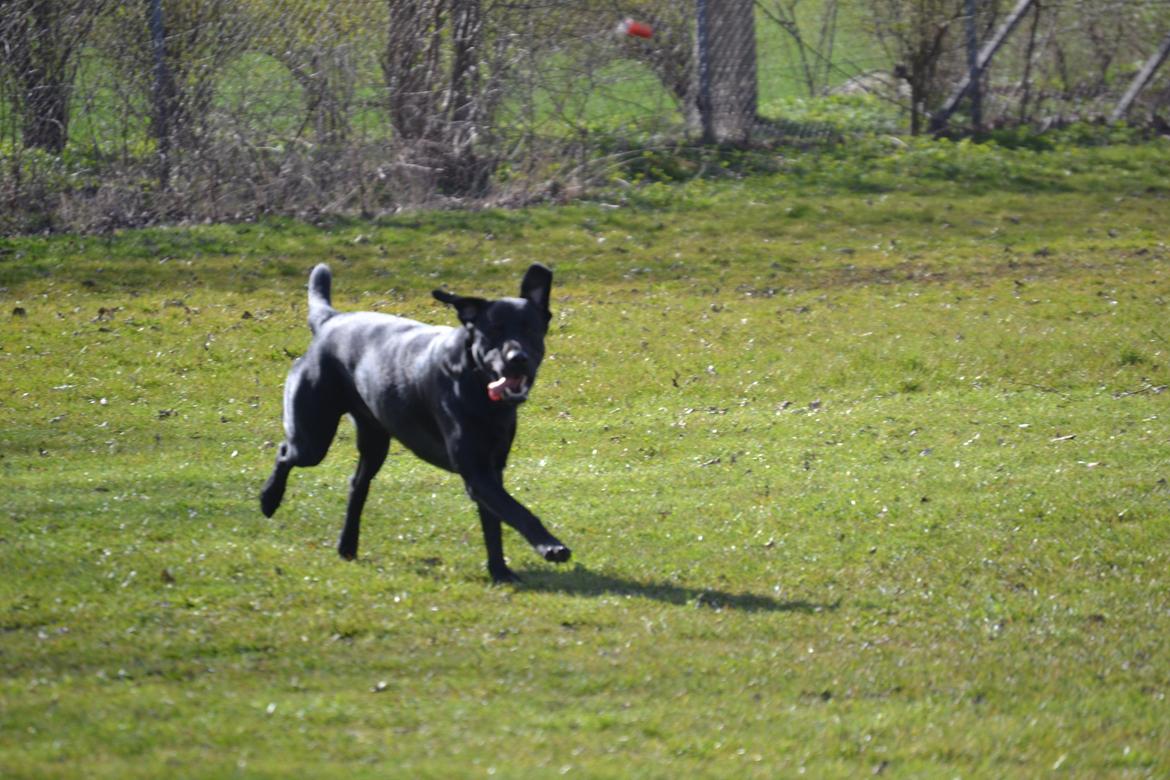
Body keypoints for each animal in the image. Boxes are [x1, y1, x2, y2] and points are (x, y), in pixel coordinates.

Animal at [265, 265, 575, 582]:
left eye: (529, 329)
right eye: (493, 331)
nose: (517, 358)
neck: (477, 384)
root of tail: (331, 319)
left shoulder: (491, 470)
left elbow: (495, 524)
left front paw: (500, 571)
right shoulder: (477, 474)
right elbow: (518, 511)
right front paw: (550, 546)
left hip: (374, 440)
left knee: (357, 485)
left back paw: (347, 545)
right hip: (313, 439)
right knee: (285, 452)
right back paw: (269, 500)